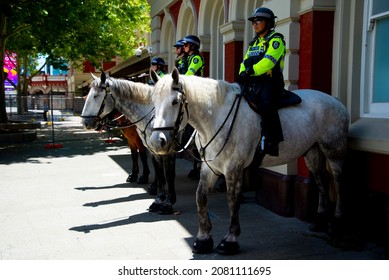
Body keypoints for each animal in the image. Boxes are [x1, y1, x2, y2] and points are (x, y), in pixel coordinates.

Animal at [82, 72, 179, 214]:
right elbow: (137, 157)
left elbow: (159, 167)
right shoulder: (135, 141)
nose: (85, 123)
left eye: (95, 96)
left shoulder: (160, 147)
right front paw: (136, 177)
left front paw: (146, 179)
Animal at [147, 67, 348, 254]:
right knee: (322, 181)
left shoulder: (233, 168)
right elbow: (201, 197)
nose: (158, 141)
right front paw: (203, 239)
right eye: (153, 102)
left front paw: (230, 239)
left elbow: (232, 200)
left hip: (333, 151)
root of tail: (335, 100)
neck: (217, 117)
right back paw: (320, 220)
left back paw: (338, 225)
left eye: (175, 101)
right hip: (312, 151)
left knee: (338, 183)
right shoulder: (210, 167)